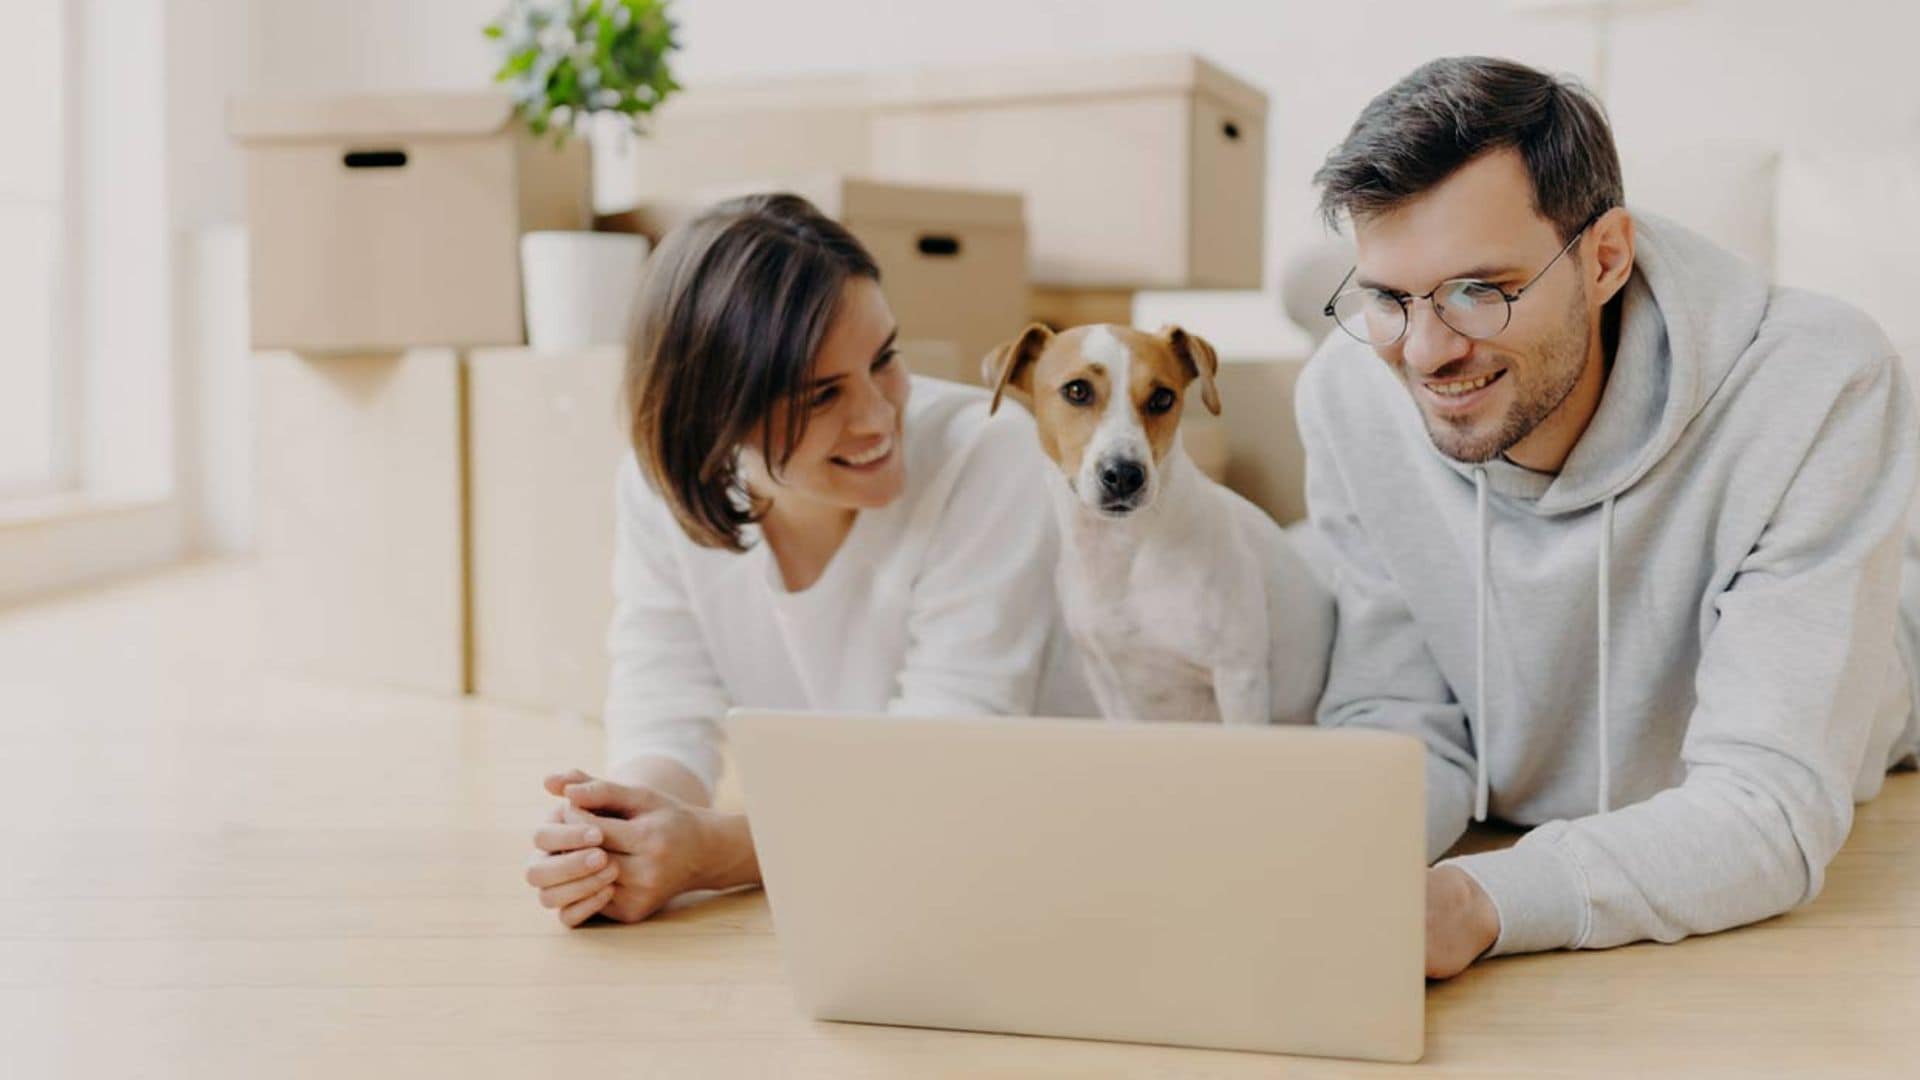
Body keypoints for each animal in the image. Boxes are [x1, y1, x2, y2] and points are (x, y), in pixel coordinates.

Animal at [990, 319, 1336, 722]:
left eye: (1162, 398)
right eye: (1076, 390)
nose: (1125, 474)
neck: (1124, 552)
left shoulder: (1240, 677)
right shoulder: (1109, 686)